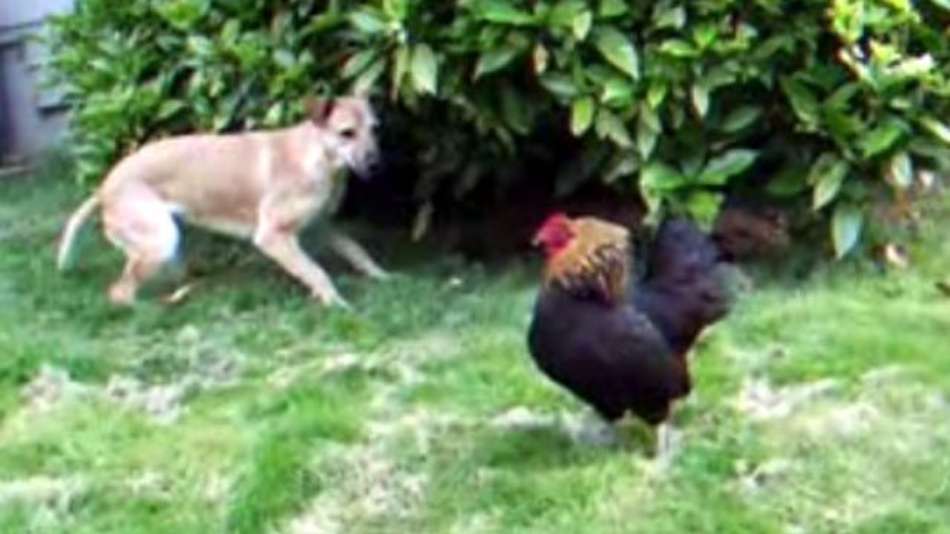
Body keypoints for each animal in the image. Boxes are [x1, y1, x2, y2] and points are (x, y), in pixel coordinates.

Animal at [57, 96, 389, 308]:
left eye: (375, 129)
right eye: (346, 133)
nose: (376, 165)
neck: (318, 156)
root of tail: (103, 188)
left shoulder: (320, 226)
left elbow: (356, 251)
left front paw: (381, 276)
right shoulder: (272, 237)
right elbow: (315, 271)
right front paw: (335, 302)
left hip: (170, 243)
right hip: (160, 241)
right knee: (120, 293)